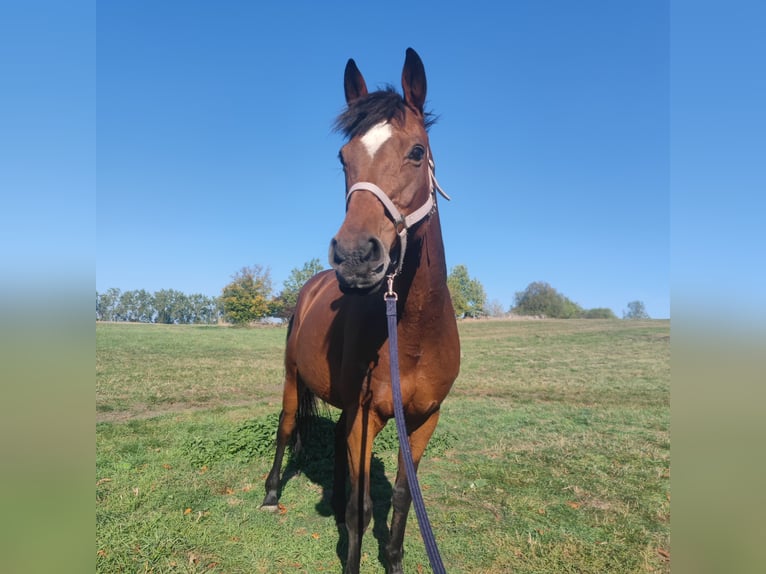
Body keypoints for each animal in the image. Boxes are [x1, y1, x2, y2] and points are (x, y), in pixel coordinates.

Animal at [261, 48, 460, 574]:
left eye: (417, 152)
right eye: (343, 157)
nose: (354, 256)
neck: (408, 334)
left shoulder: (423, 419)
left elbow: (401, 498)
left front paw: (393, 559)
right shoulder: (365, 416)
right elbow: (361, 508)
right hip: (294, 380)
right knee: (285, 428)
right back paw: (270, 493)